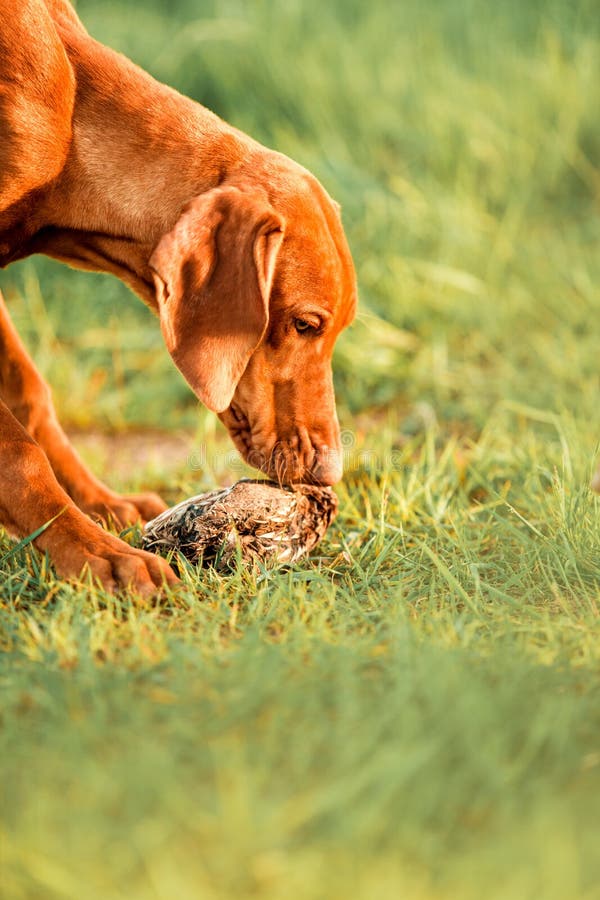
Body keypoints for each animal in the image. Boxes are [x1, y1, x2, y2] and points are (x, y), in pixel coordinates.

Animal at [0, 0, 356, 596]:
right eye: (306, 324)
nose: (331, 475)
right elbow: (16, 448)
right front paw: (96, 554)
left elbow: (29, 392)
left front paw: (97, 505)